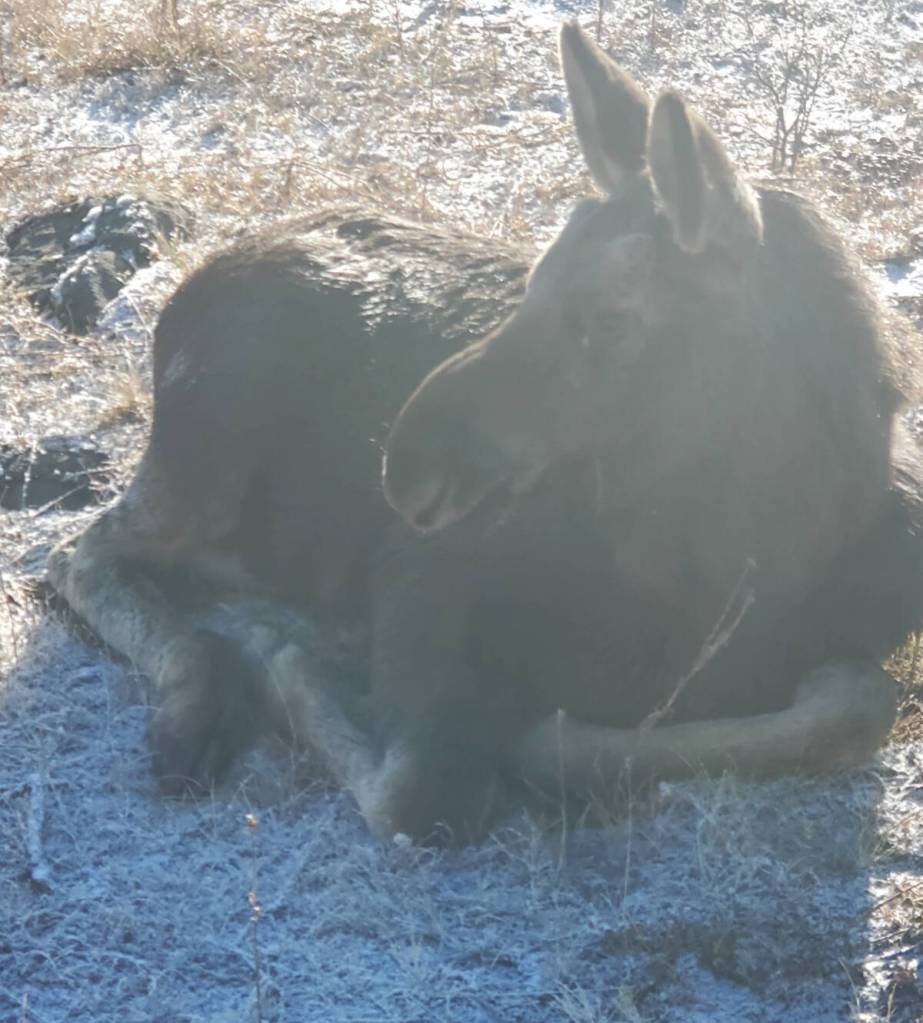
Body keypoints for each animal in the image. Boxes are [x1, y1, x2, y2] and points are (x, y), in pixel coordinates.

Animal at [48, 22, 923, 845]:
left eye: (611, 317)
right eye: (532, 274)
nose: (403, 466)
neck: (745, 568)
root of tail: (189, 285)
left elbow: (855, 702)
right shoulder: (419, 573)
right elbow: (426, 792)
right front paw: (280, 651)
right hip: (206, 459)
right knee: (78, 550)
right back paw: (199, 690)